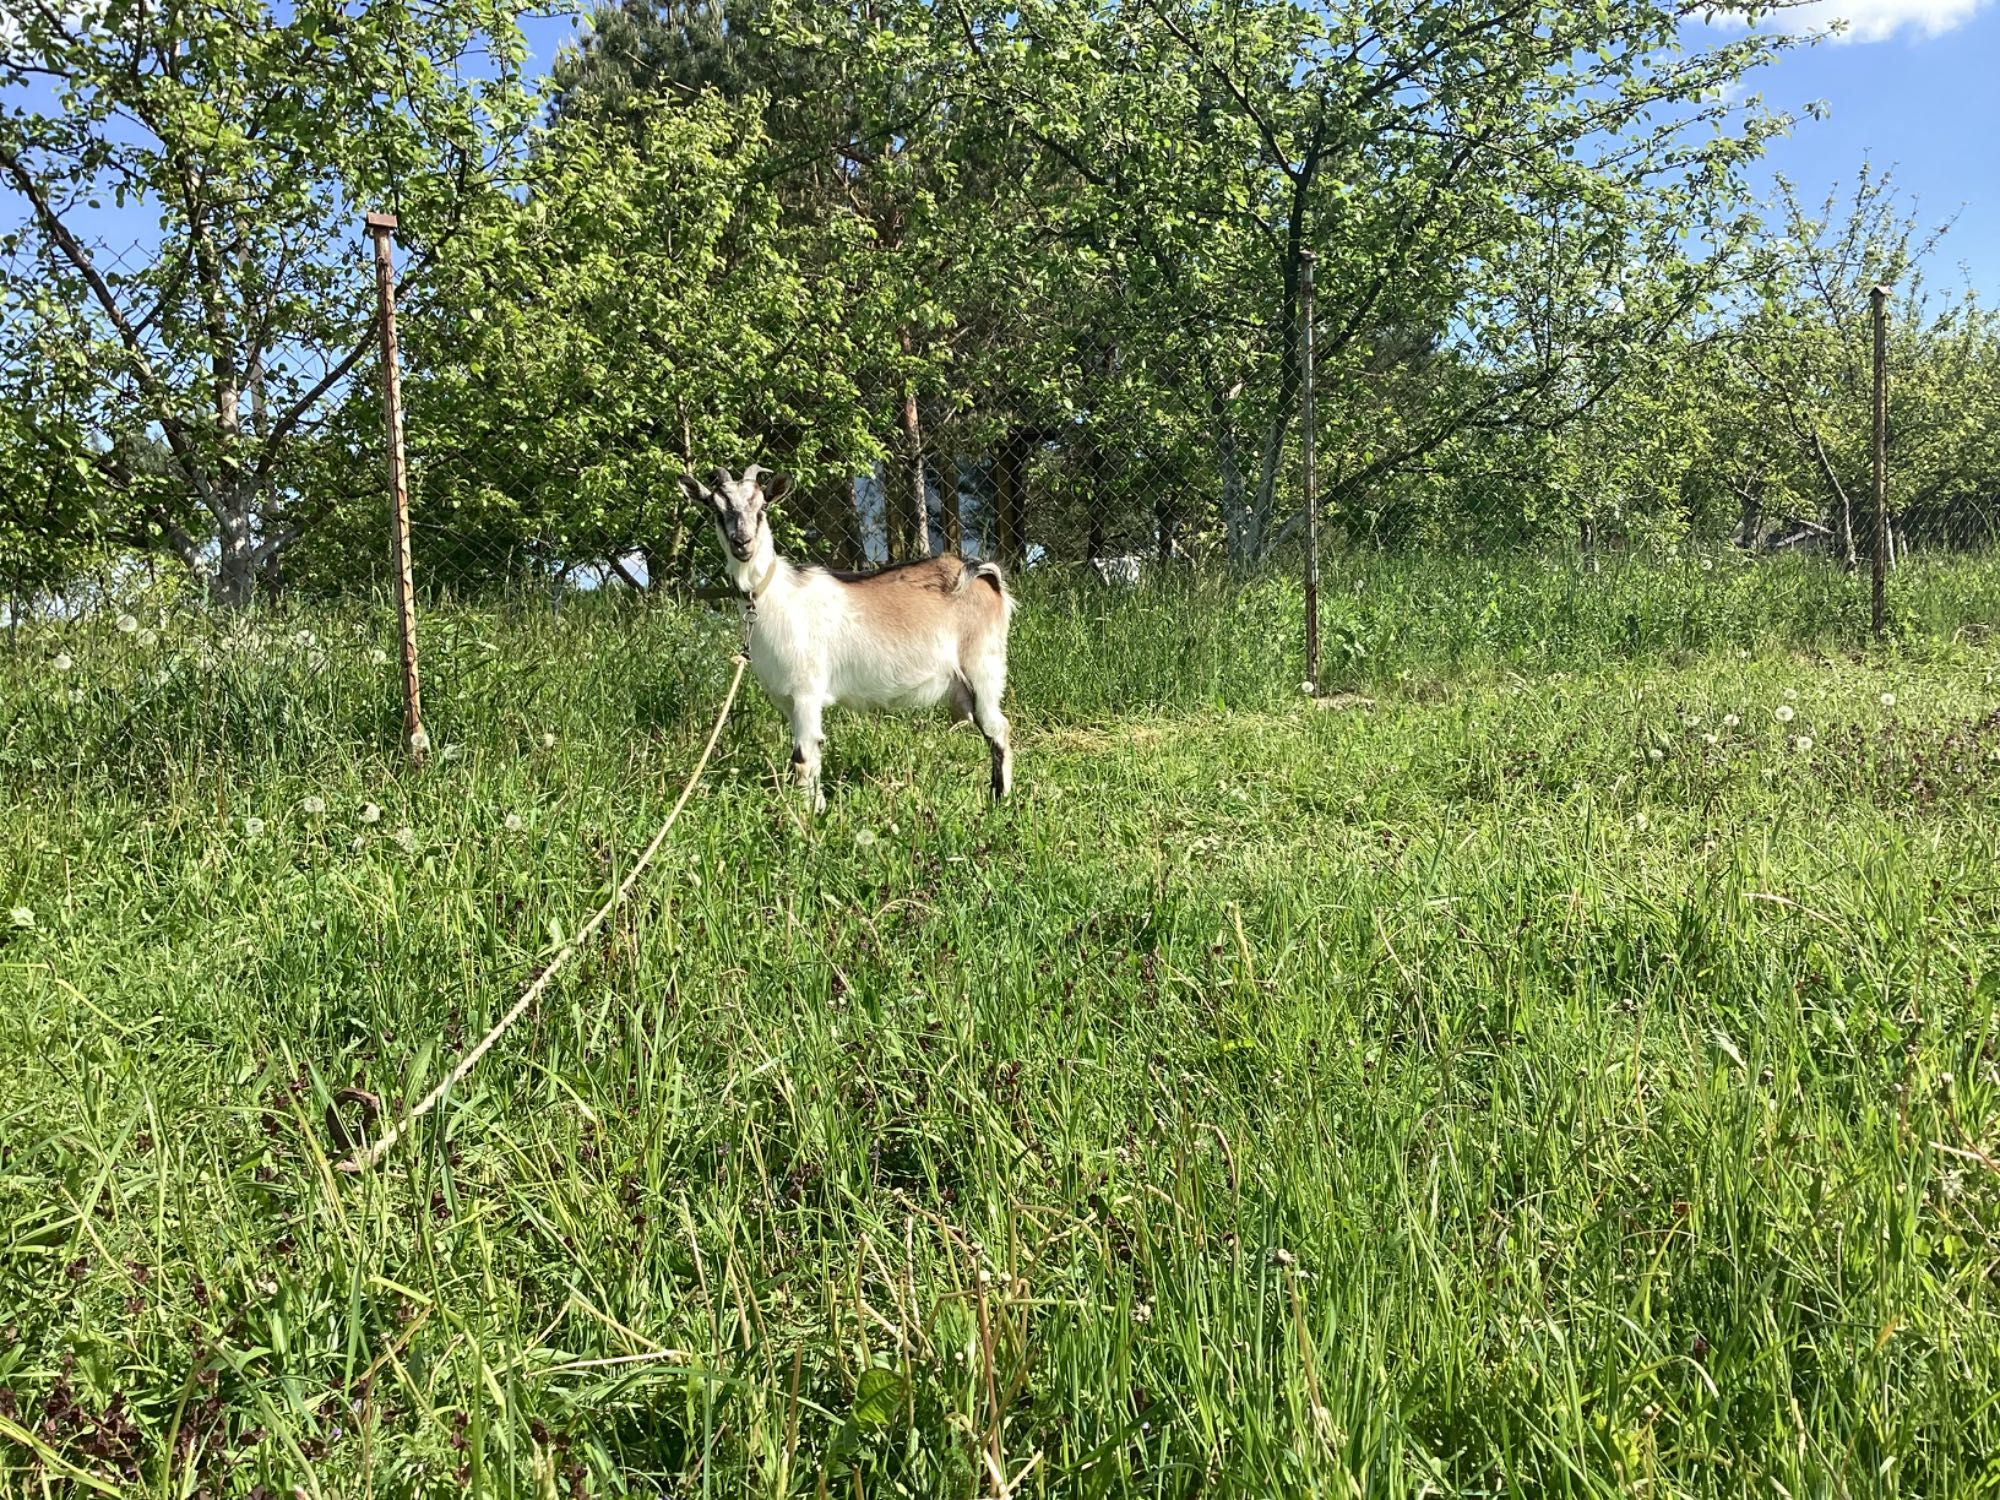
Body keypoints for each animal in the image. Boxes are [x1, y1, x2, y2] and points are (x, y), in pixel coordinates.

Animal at [680, 468, 1016, 812]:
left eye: (761, 507)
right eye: (716, 509)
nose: (742, 543)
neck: (775, 596)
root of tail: (984, 576)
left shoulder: (807, 692)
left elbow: (804, 756)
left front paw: (810, 817)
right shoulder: (786, 699)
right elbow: (805, 757)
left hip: (984, 669)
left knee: (998, 728)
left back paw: (1001, 800)